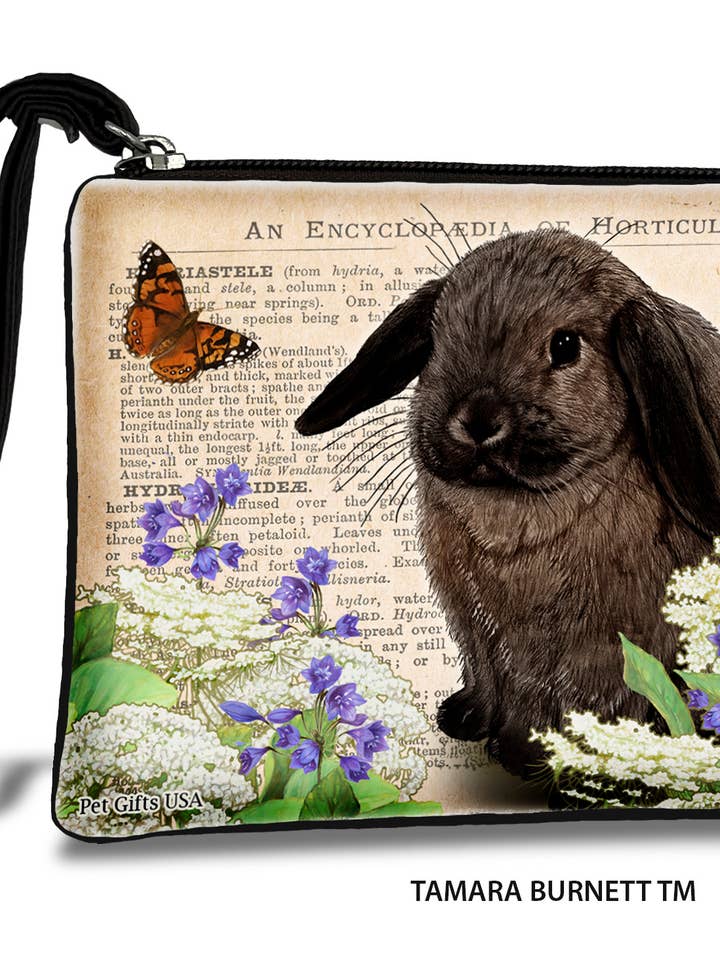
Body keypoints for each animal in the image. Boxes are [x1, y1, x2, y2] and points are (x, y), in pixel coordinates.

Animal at [295, 227, 720, 779]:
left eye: (566, 345)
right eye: (436, 339)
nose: (477, 419)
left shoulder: (601, 650)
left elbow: (581, 702)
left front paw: (529, 755)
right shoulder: (479, 635)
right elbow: (489, 678)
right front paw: (463, 720)